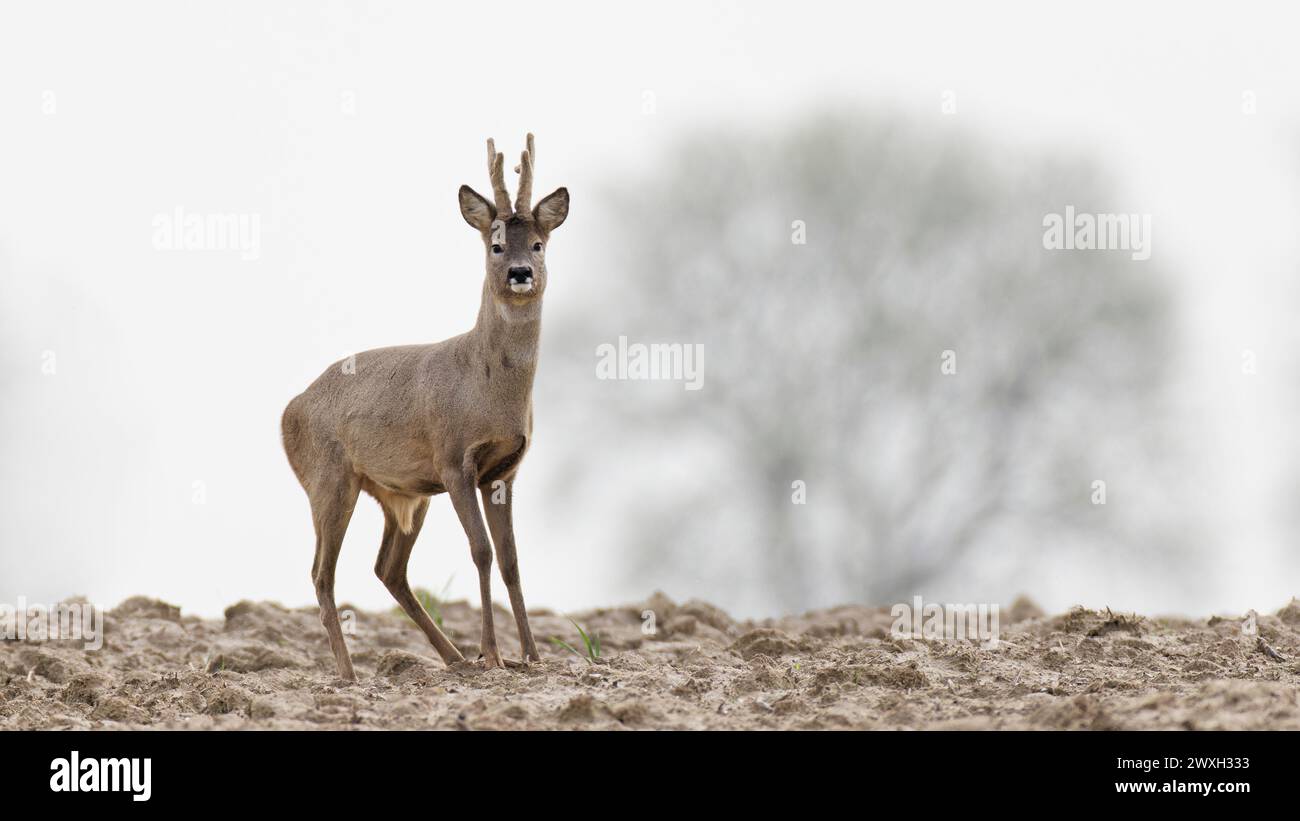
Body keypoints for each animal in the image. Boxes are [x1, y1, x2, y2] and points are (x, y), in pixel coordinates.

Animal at [282, 134, 566, 680]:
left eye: (539, 245)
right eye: (496, 244)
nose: (521, 273)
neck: (488, 389)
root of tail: (289, 409)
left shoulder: (505, 469)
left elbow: (511, 559)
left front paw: (533, 655)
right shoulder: (454, 459)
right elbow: (480, 552)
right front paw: (493, 654)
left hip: (403, 494)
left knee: (387, 568)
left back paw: (452, 658)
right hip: (328, 480)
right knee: (321, 573)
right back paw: (349, 674)